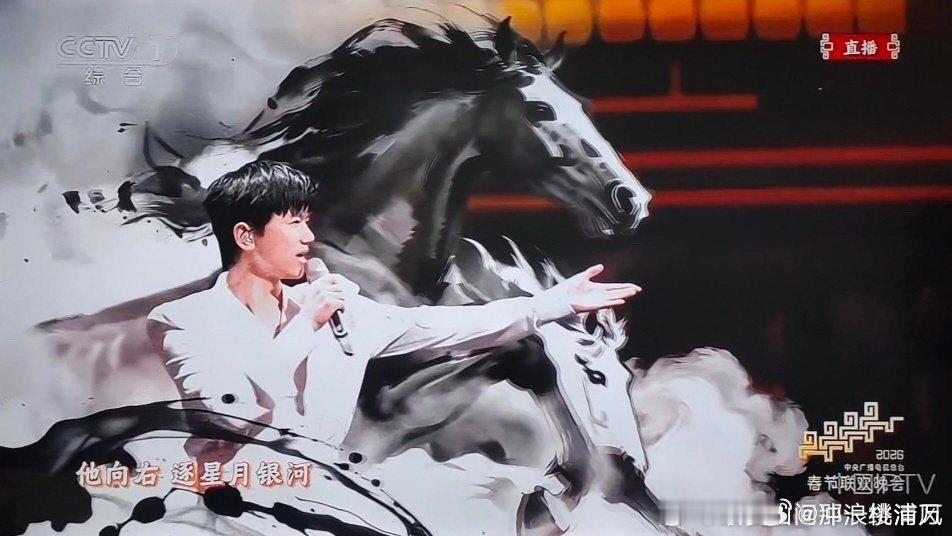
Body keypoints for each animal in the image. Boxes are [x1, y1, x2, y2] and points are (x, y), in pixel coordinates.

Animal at [38, 17, 657, 532]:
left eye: (579, 102)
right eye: (541, 111)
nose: (632, 200)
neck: (372, 252)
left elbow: (519, 346)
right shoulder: (383, 404)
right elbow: (525, 354)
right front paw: (558, 493)